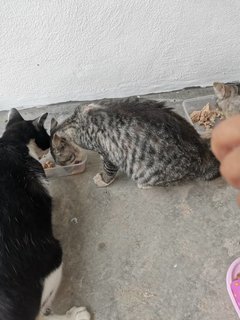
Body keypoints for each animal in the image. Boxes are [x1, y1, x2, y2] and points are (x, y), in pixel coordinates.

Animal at [0, 109, 90, 318]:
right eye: (46, 137)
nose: (47, 149)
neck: (11, 141)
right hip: (54, 261)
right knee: (40, 314)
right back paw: (76, 314)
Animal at [50, 97, 219, 188]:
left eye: (65, 161)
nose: (66, 168)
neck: (75, 122)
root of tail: (203, 152)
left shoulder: (108, 153)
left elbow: (108, 170)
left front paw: (103, 180)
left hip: (151, 172)